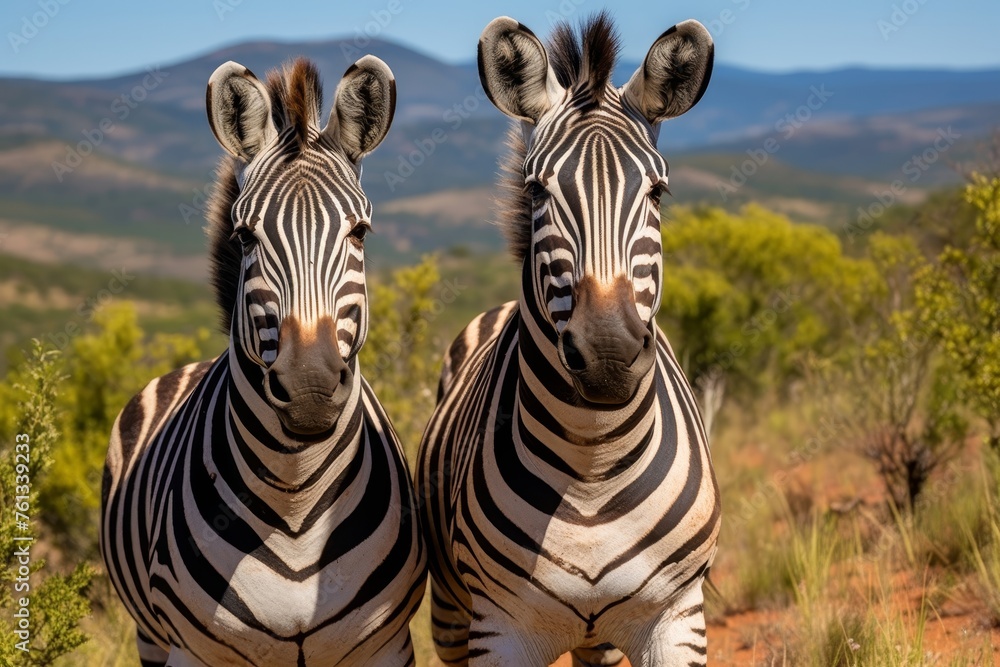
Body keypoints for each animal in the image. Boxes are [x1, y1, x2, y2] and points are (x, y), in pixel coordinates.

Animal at [100, 56, 426, 666]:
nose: (310, 389)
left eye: (360, 232)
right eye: (246, 235)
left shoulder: (384, 645)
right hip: (149, 635)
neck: (295, 503)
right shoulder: (191, 650)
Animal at [417, 13, 720, 667]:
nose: (607, 356)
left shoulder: (677, 615)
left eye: (657, 192)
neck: (593, 467)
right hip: (452, 614)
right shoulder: (498, 629)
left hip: (596, 638)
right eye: (536, 191)